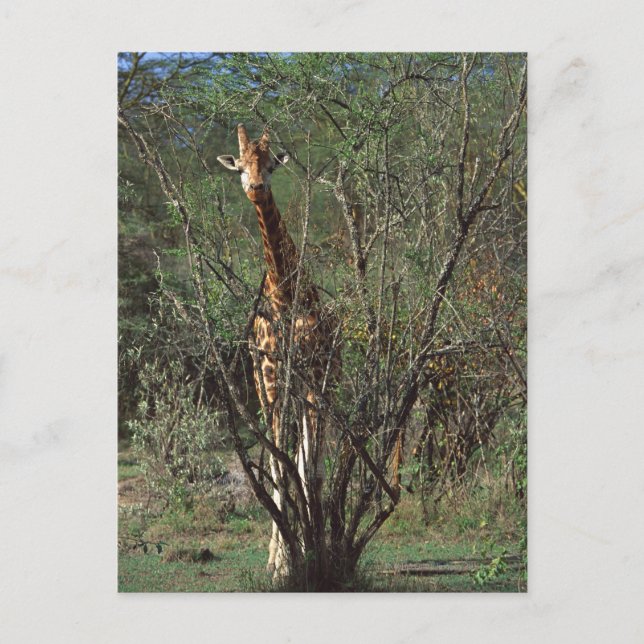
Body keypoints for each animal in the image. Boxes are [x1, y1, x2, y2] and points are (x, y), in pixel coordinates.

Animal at [217, 124, 338, 577]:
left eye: (270, 165)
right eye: (241, 165)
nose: (255, 187)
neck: (285, 296)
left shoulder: (314, 381)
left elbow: (309, 472)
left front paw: (314, 551)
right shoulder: (271, 380)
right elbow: (279, 467)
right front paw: (285, 563)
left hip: (311, 390)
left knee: (303, 464)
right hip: (265, 386)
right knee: (276, 462)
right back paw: (278, 552)